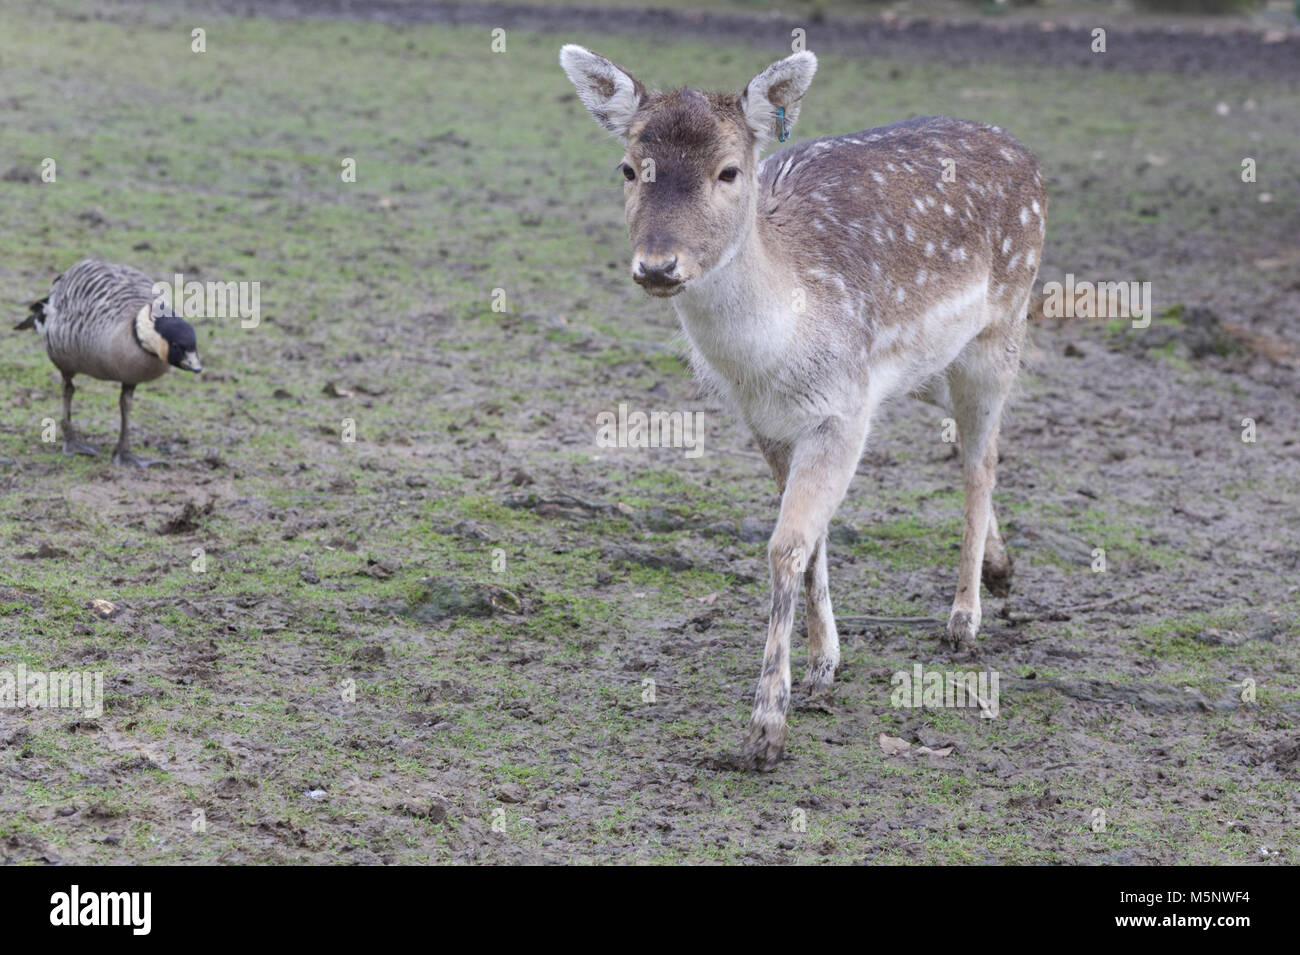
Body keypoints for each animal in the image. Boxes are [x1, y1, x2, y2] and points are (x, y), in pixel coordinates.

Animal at [559, 48, 1045, 774]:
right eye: (627, 167)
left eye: (729, 170)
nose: (657, 265)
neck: (775, 353)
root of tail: (1025, 152)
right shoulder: (765, 421)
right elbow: (812, 539)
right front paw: (823, 668)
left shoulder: (842, 409)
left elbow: (787, 543)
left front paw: (766, 728)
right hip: (932, 366)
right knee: (970, 443)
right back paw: (1000, 565)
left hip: (1001, 327)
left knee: (979, 460)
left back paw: (963, 620)